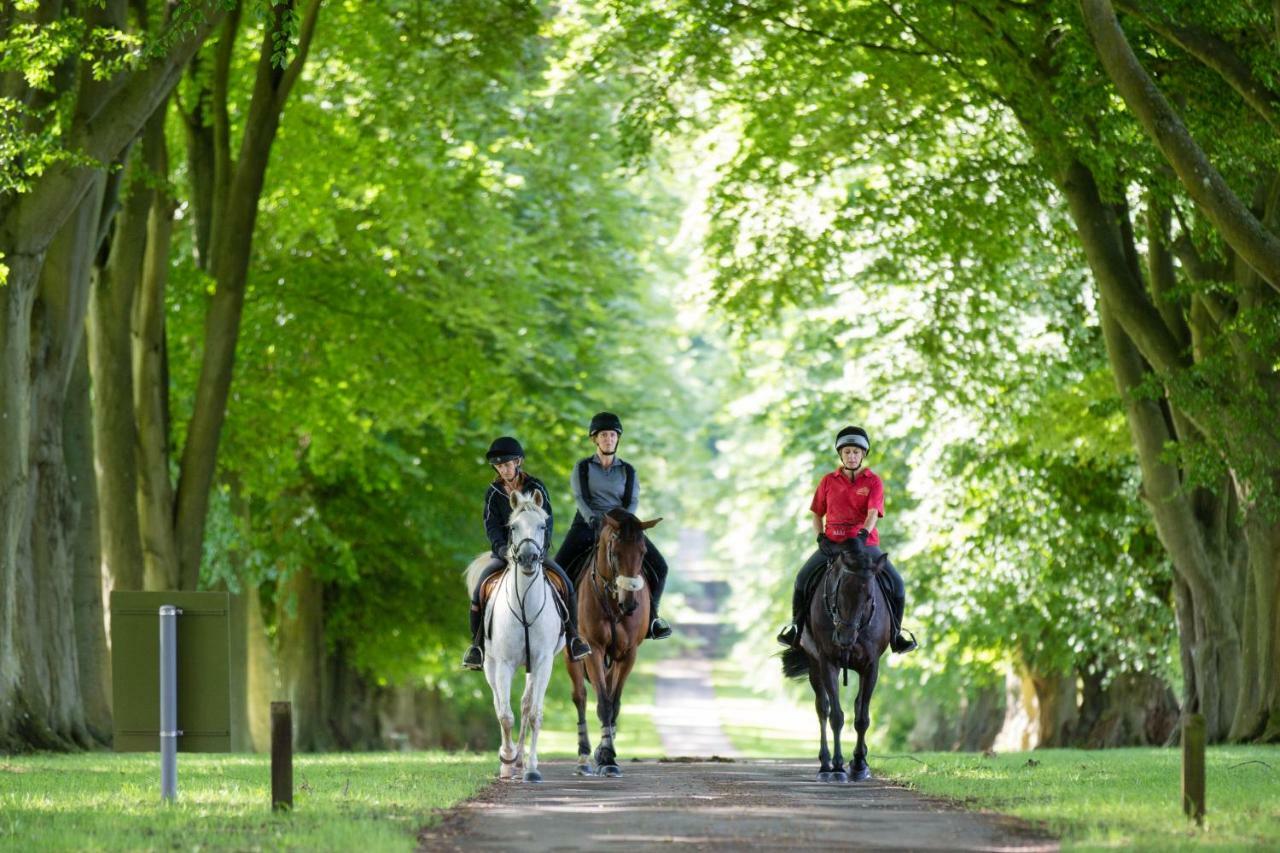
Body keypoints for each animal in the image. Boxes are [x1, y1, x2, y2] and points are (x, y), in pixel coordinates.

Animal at [460, 489, 560, 778]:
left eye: (542, 525)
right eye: (513, 527)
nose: (527, 558)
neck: (525, 605)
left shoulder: (543, 661)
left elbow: (535, 713)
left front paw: (532, 767)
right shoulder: (504, 663)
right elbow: (505, 715)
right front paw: (506, 759)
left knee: (526, 705)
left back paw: (521, 761)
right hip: (490, 665)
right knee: (498, 702)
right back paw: (510, 760)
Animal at [565, 507, 660, 773]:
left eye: (643, 553)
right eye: (615, 553)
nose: (630, 605)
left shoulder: (628, 653)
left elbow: (614, 702)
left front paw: (606, 752)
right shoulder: (594, 649)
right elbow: (603, 703)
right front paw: (607, 756)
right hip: (571, 653)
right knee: (580, 697)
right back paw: (583, 756)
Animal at [778, 540, 890, 778]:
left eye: (869, 597)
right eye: (840, 592)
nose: (844, 638)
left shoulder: (871, 666)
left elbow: (862, 718)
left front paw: (859, 765)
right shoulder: (828, 662)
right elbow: (836, 716)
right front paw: (838, 767)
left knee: (857, 706)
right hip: (815, 666)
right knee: (823, 708)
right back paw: (825, 763)